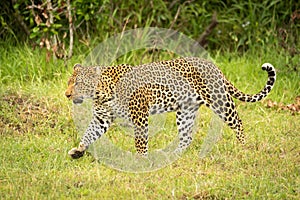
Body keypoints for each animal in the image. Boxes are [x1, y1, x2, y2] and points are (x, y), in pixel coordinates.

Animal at [65, 57, 276, 159]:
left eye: (78, 83)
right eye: (69, 83)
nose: (66, 94)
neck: (102, 94)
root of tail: (214, 66)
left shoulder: (139, 114)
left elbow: (140, 142)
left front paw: (141, 160)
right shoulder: (102, 118)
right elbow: (88, 134)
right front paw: (79, 151)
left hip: (219, 101)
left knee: (238, 122)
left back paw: (244, 147)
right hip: (186, 111)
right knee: (186, 137)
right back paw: (172, 155)